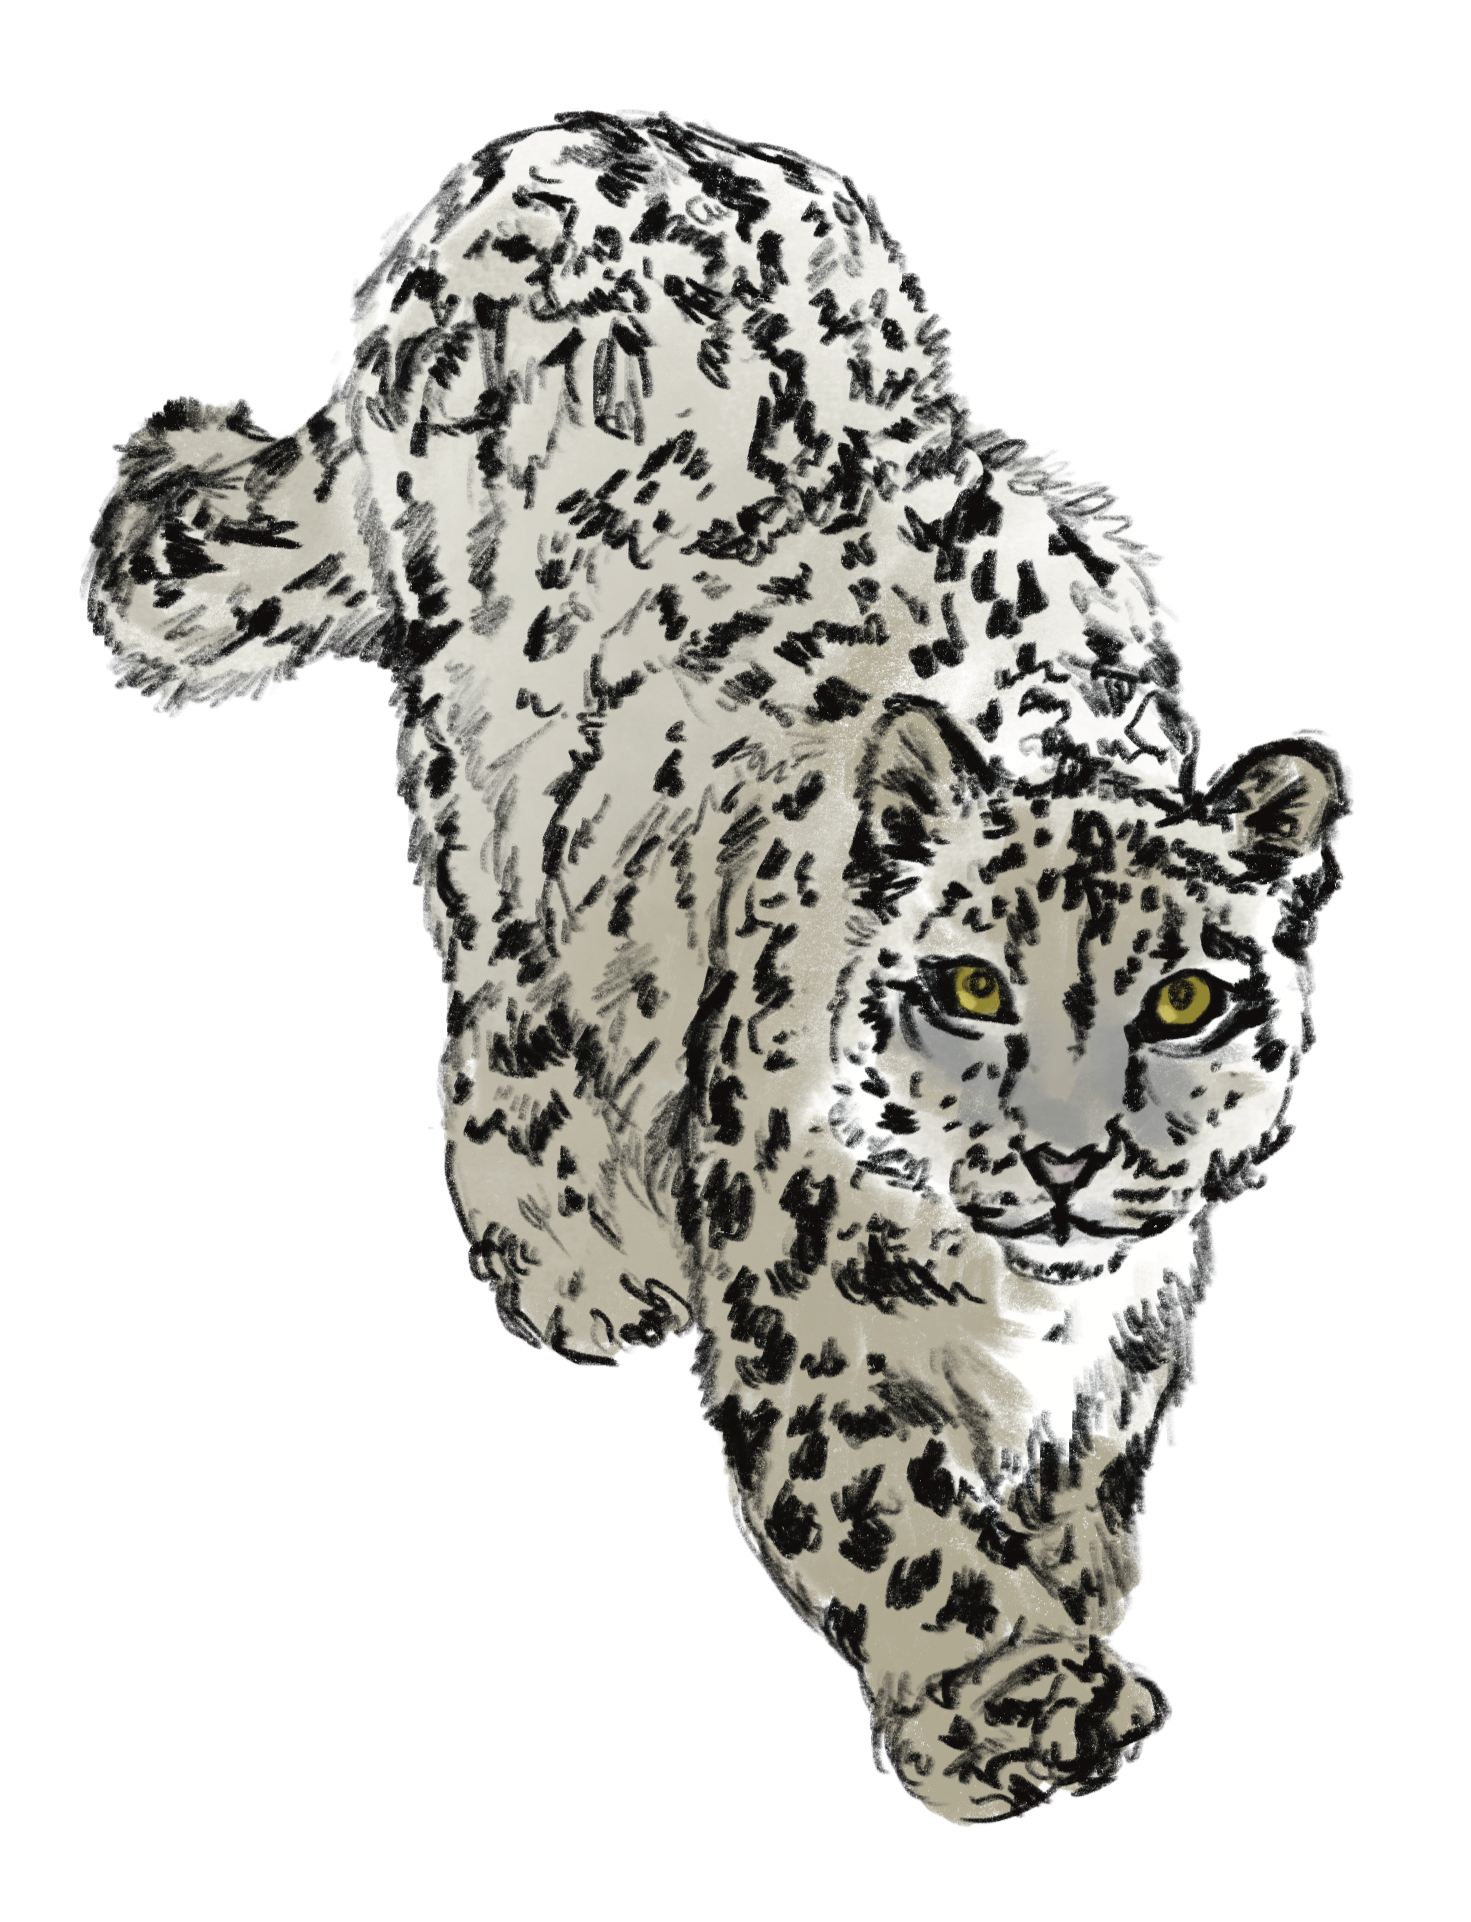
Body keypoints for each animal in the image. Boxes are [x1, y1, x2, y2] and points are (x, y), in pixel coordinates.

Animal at [88, 111, 1345, 1825]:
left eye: (1182, 998)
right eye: (968, 988)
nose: (1066, 1159)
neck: (1022, 1290)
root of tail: (553, 138)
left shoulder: (1126, 1304)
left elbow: (1091, 1438)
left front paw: (1083, 1561)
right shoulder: (817, 1314)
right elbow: (899, 1531)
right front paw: (1020, 1707)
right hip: (494, 801)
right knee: (507, 1023)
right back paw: (579, 1264)